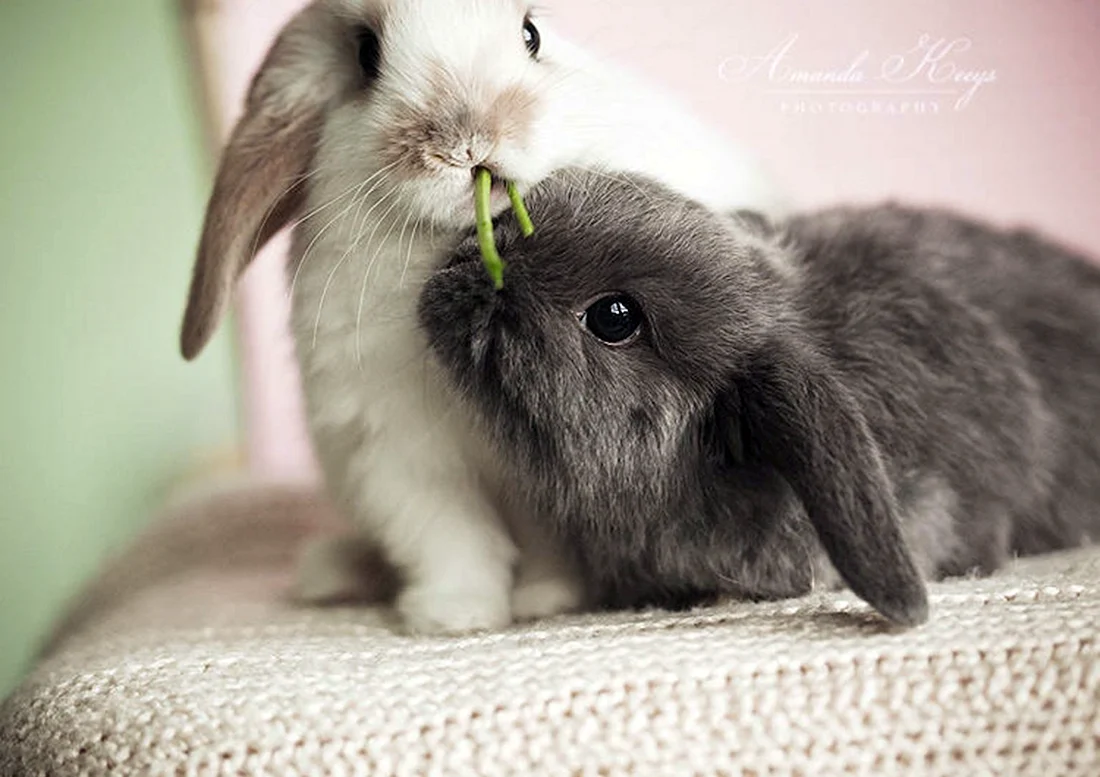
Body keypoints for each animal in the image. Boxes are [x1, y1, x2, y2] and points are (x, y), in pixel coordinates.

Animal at [178, 0, 779, 634]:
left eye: (530, 34)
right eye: (367, 55)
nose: (470, 140)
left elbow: (547, 544)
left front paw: (547, 600)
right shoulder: (401, 460)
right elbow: (449, 539)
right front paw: (455, 615)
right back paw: (329, 572)